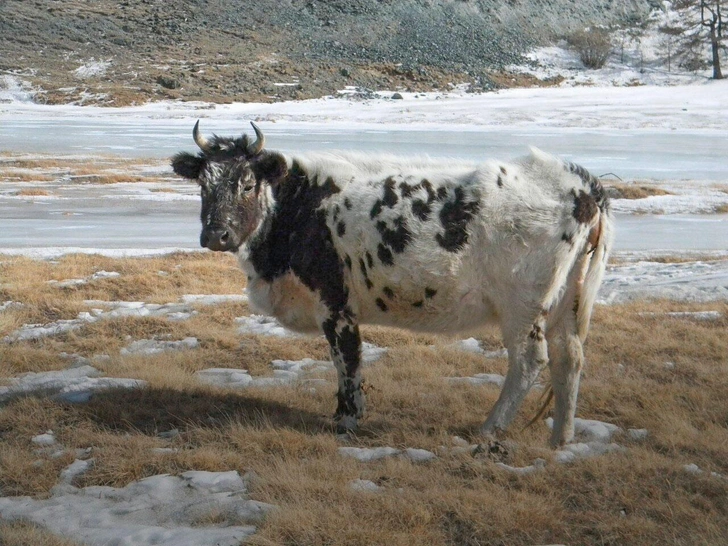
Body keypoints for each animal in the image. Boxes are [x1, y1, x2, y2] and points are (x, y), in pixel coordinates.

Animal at [173, 123, 612, 446]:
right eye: (203, 184)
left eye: (247, 183)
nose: (216, 235)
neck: (299, 207)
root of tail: (582, 184)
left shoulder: (335, 304)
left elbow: (347, 362)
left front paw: (346, 420)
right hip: (566, 302)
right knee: (569, 358)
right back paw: (561, 438)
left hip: (522, 307)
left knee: (529, 361)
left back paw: (490, 429)